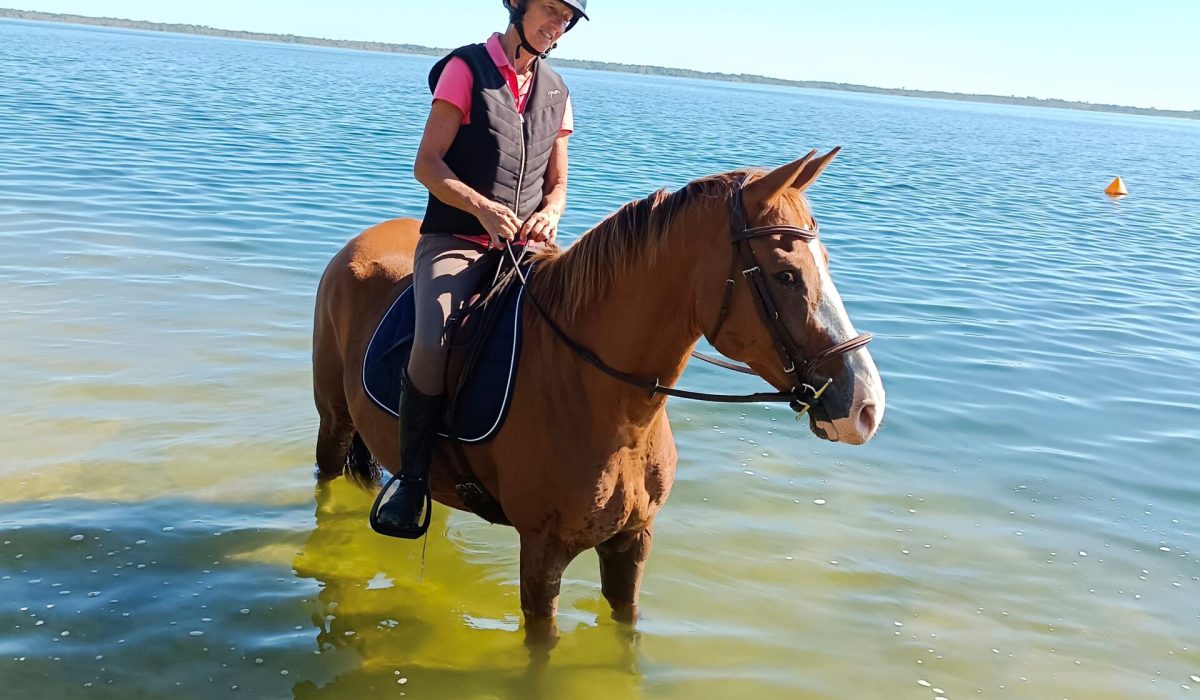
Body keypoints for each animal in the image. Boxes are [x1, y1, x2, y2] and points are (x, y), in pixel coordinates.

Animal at [311, 148, 886, 643]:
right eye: (785, 275)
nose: (866, 407)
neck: (612, 410)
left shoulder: (633, 542)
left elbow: (625, 628)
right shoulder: (542, 555)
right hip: (334, 419)